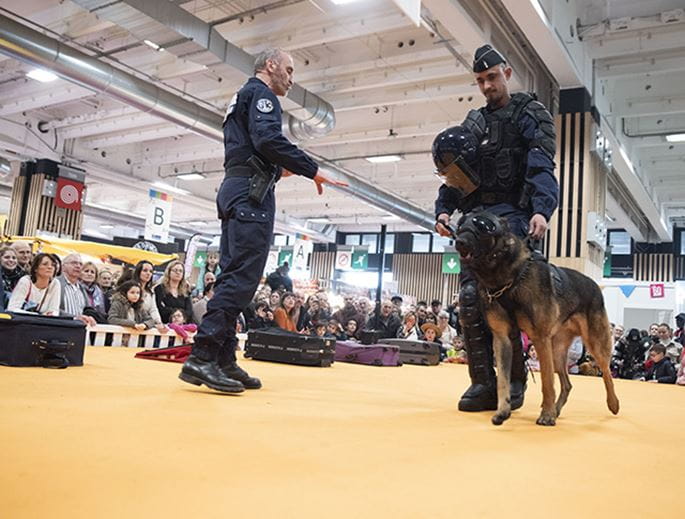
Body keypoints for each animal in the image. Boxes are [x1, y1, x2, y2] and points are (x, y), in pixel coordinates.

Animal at [452, 211, 616, 426]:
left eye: (483, 226)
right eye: (460, 225)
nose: (459, 242)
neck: (508, 279)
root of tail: (595, 284)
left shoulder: (539, 339)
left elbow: (547, 382)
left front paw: (546, 415)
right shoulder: (502, 339)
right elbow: (503, 380)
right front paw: (503, 411)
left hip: (594, 344)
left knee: (606, 372)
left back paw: (613, 404)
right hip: (556, 351)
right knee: (567, 384)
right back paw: (556, 409)